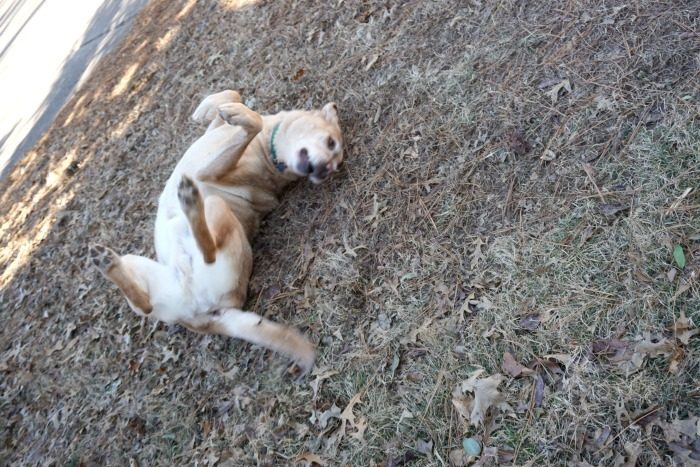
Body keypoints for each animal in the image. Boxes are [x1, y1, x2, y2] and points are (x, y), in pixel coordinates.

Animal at [90, 90, 344, 376]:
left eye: (335, 157)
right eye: (331, 143)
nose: (325, 170)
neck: (270, 152)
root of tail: (208, 315)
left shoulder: (206, 172)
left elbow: (253, 120)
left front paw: (238, 113)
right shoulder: (218, 132)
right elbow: (232, 96)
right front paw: (213, 108)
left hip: (215, 206)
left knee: (207, 249)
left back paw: (190, 203)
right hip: (142, 268)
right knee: (144, 304)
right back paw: (107, 262)